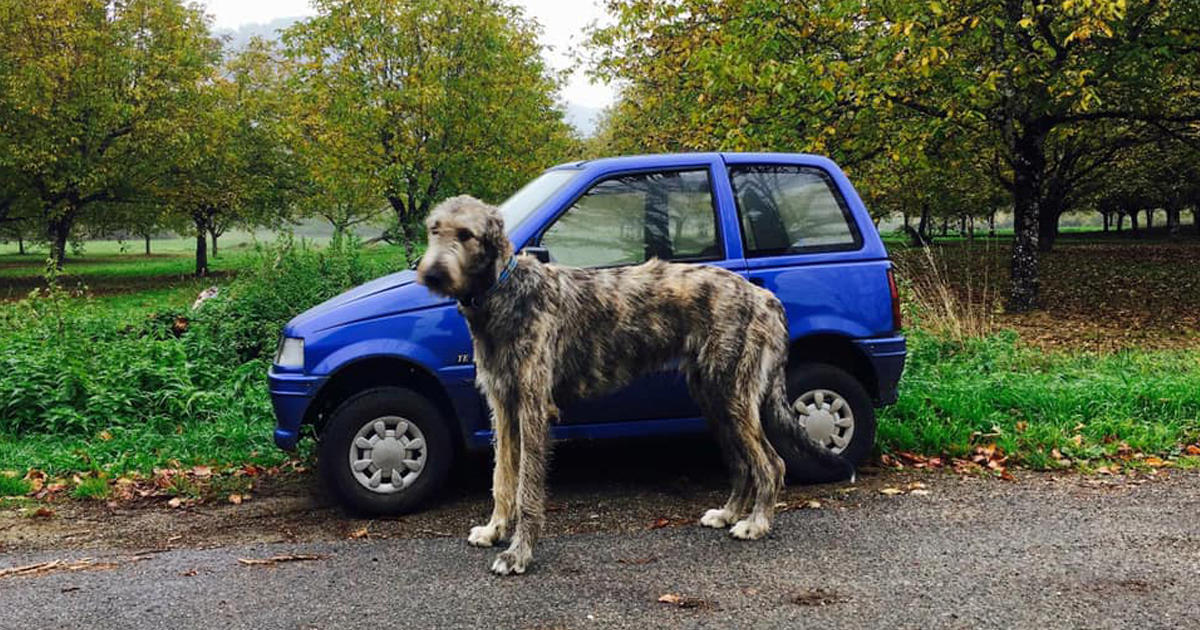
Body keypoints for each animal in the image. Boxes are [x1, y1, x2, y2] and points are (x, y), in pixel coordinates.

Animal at [417, 196, 859, 573]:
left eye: (466, 234)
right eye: (434, 228)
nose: (432, 274)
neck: (504, 290)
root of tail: (766, 298)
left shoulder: (533, 407)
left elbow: (527, 486)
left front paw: (518, 553)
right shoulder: (503, 406)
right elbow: (502, 478)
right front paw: (494, 530)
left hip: (734, 395)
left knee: (771, 462)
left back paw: (757, 523)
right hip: (713, 397)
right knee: (741, 463)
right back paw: (729, 513)